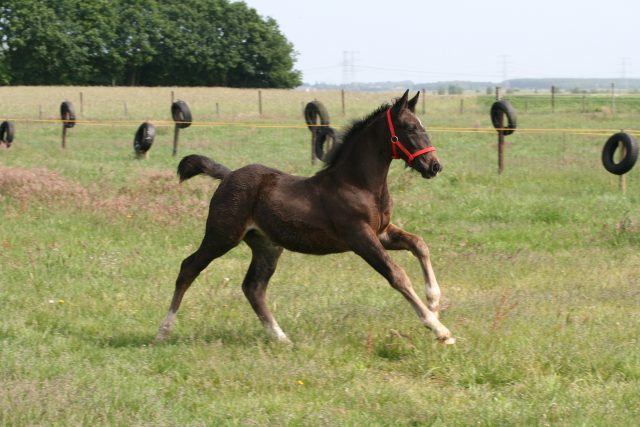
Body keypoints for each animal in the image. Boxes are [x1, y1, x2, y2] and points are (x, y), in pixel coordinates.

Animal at [155, 90, 456, 344]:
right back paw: (163, 331)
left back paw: (281, 338)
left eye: (423, 126)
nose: (434, 166)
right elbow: (397, 275)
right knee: (189, 268)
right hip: (222, 236)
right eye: (409, 128)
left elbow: (419, 244)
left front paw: (434, 303)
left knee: (253, 287)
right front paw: (439, 329)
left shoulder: (381, 232)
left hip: (266, 246)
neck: (358, 184)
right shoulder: (359, 236)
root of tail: (227, 175)